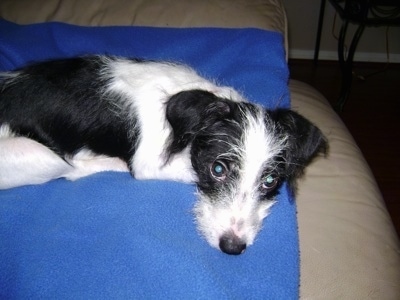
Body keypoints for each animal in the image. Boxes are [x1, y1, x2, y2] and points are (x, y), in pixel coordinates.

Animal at [0, 55, 326, 253]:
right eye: (218, 169)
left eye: (270, 181)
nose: (232, 247)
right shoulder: (149, 163)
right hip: (41, 155)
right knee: (71, 169)